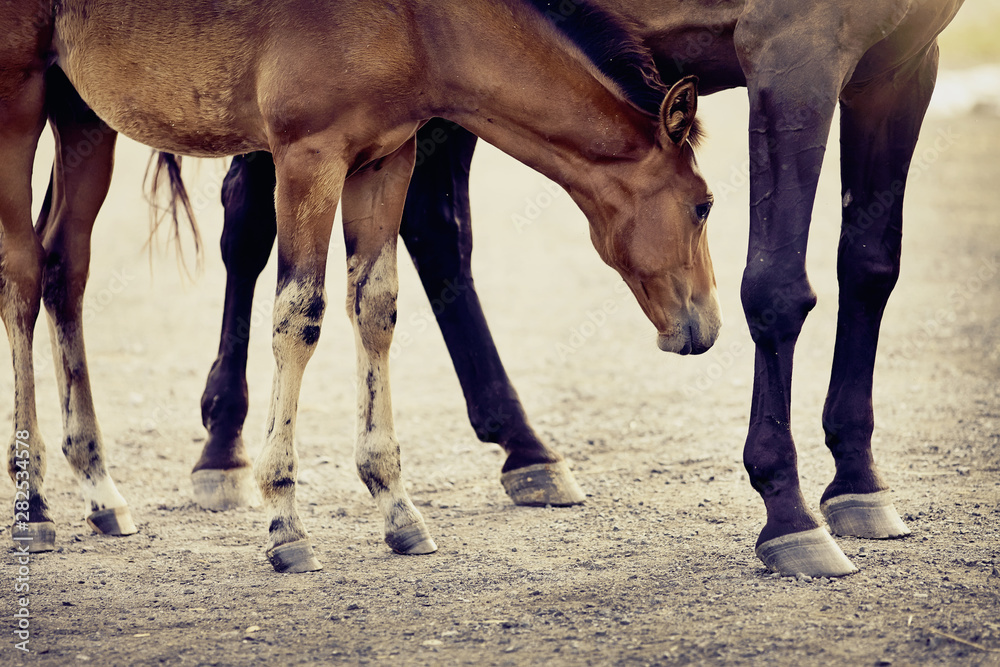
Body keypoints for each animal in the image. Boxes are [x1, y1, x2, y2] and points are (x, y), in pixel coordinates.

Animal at [0, 0, 720, 572]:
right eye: (705, 204)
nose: (705, 327)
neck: (417, 22)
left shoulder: (384, 159)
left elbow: (375, 309)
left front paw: (398, 509)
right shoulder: (306, 159)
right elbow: (299, 317)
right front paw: (285, 522)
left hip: (82, 113)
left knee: (66, 264)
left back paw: (99, 488)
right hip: (19, 100)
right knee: (23, 273)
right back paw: (35, 504)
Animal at [189, 0, 966, 577]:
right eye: (705, 205)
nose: (696, 326)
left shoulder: (902, 62)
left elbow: (870, 265)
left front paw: (859, 481)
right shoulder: (792, 51)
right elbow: (776, 288)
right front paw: (789, 511)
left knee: (430, 230)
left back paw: (526, 449)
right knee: (248, 221)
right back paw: (221, 449)